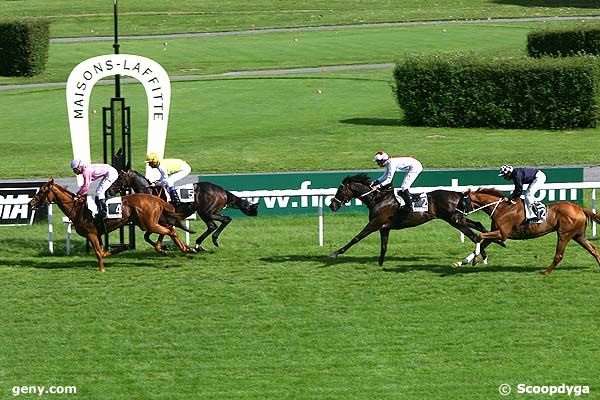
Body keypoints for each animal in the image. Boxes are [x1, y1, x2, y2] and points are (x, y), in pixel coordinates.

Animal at [30, 178, 196, 272]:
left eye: (42, 191)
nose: (31, 203)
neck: (77, 208)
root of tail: (155, 198)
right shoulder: (97, 234)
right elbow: (102, 251)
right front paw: (120, 249)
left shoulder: (91, 233)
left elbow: (99, 253)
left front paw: (102, 269)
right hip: (150, 222)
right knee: (169, 229)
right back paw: (180, 248)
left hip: (149, 223)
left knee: (170, 231)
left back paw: (184, 249)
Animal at [108, 170, 258, 252]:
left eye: (119, 178)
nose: (109, 191)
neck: (150, 193)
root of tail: (223, 190)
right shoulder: (160, 221)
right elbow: (148, 236)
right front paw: (164, 247)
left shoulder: (163, 220)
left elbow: (158, 234)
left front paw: (164, 247)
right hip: (208, 212)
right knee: (221, 222)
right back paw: (206, 242)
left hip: (206, 212)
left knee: (216, 223)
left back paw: (202, 243)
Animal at [328, 174, 502, 266]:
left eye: (340, 190)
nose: (332, 205)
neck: (378, 199)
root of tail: (458, 194)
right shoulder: (384, 227)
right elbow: (384, 246)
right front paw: (380, 264)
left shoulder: (375, 223)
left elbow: (356, 238)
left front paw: (335, 253)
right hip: (457, 219)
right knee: (478, 226)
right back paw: (495, 242)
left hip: (454, 220)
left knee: (473, 235)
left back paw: (482, 255)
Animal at [454, 188, 600, 276]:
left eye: (462, 203)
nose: (455, 217)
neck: (501, 208)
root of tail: (580, 208)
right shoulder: (495, 232)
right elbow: (483, 242)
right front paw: (462, 262)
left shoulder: (502, 234)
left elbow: (480, 236)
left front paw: (475, 260)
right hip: (578, 235)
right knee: (594, 250)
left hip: (564, 234)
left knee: (559, 255)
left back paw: (545, 272)